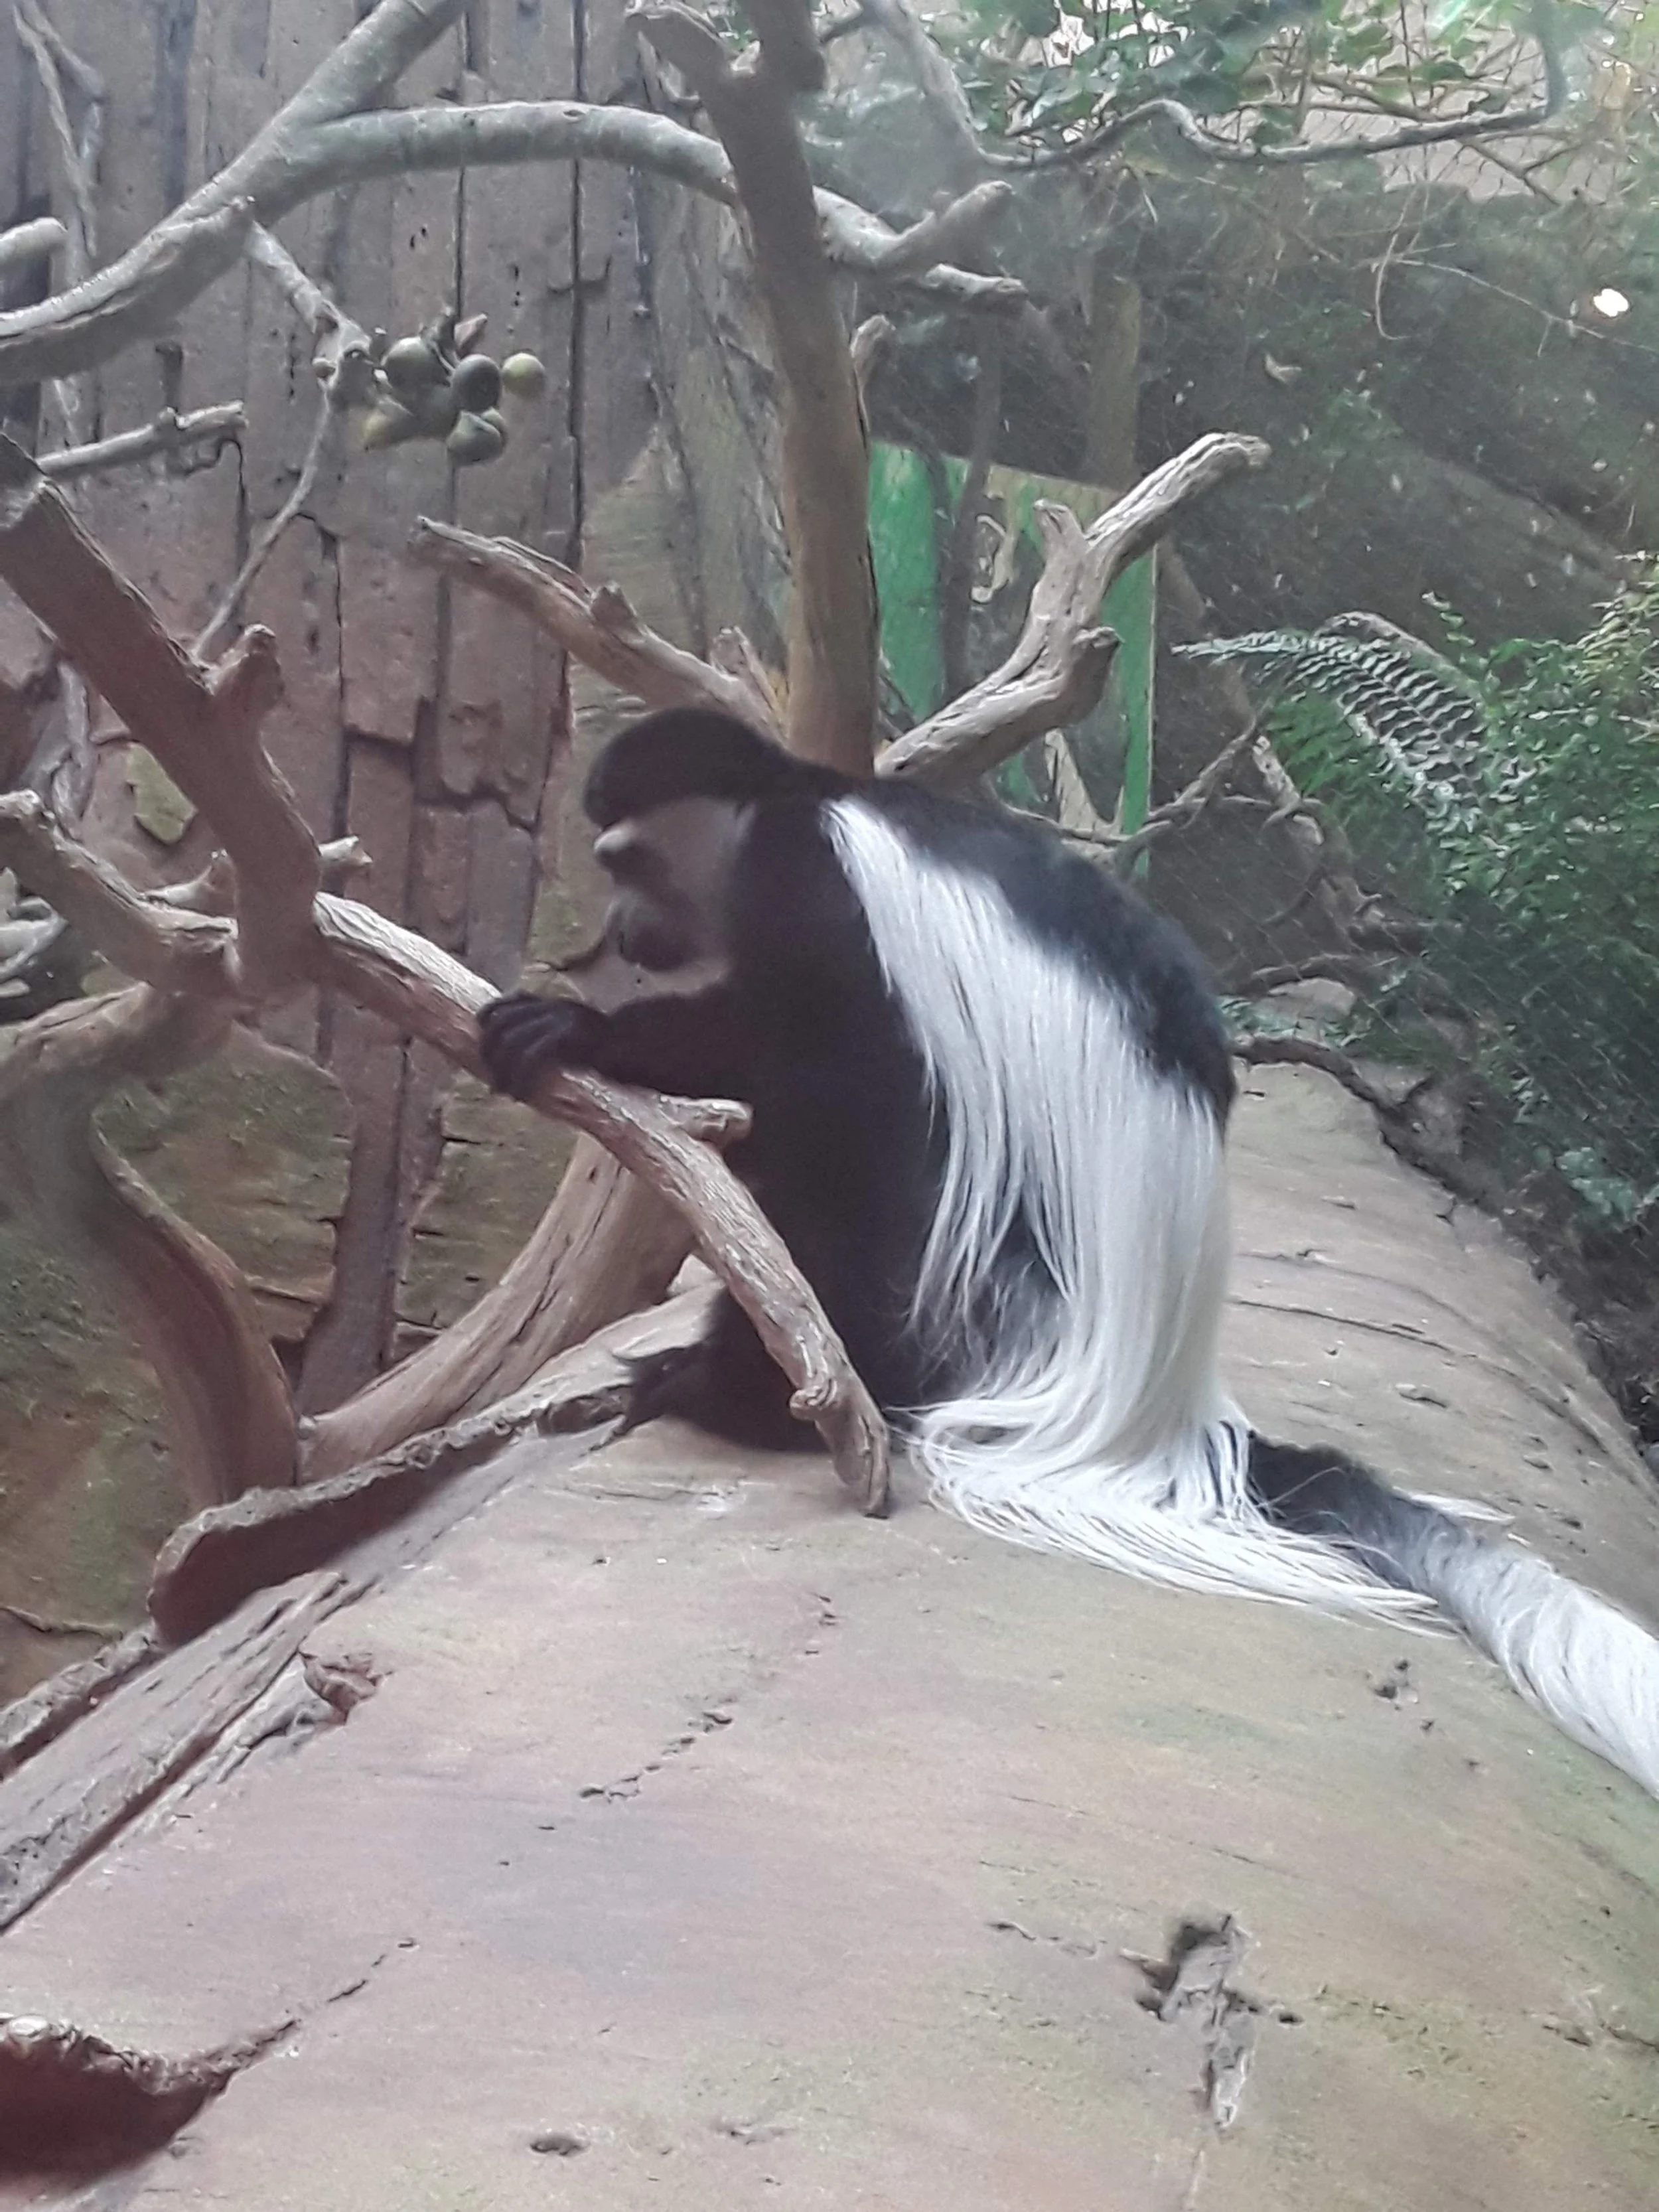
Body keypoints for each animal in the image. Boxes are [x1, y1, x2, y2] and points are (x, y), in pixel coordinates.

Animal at [479, 707, 1659, 1801]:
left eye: (626, 860)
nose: (618, 929)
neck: (803, 801)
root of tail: (1156, 1407)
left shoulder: (805, 891)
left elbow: (792, 1049)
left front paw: (581, 1032)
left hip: (981, 1245)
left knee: (858, 1176)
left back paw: (742, 1391)